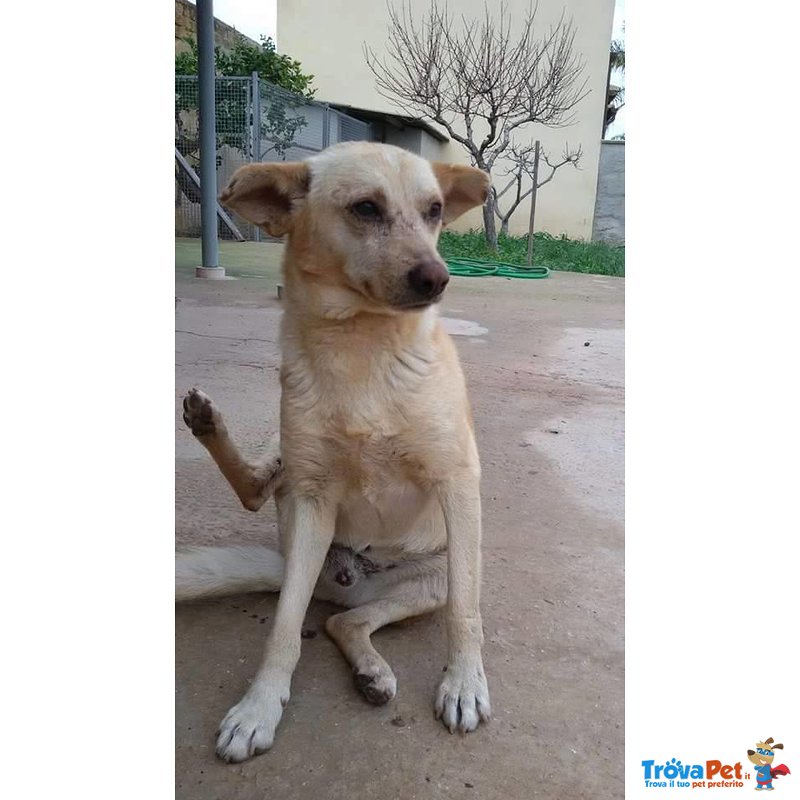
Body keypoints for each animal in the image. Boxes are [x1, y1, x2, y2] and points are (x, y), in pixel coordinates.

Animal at [180, 144, 490, 764]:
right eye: (366, 208)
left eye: (434, 210)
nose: (438, 278)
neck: (361, 348)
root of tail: (353, 581)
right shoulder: (312, 498)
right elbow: (282, 627)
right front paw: (258, 708)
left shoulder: (457, 482)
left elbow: (465, 615)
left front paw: (465, 683)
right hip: (292, 487)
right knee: (263, 506)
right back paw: (206, 422)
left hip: (434, 576)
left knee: (351, 621)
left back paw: (372, 671)